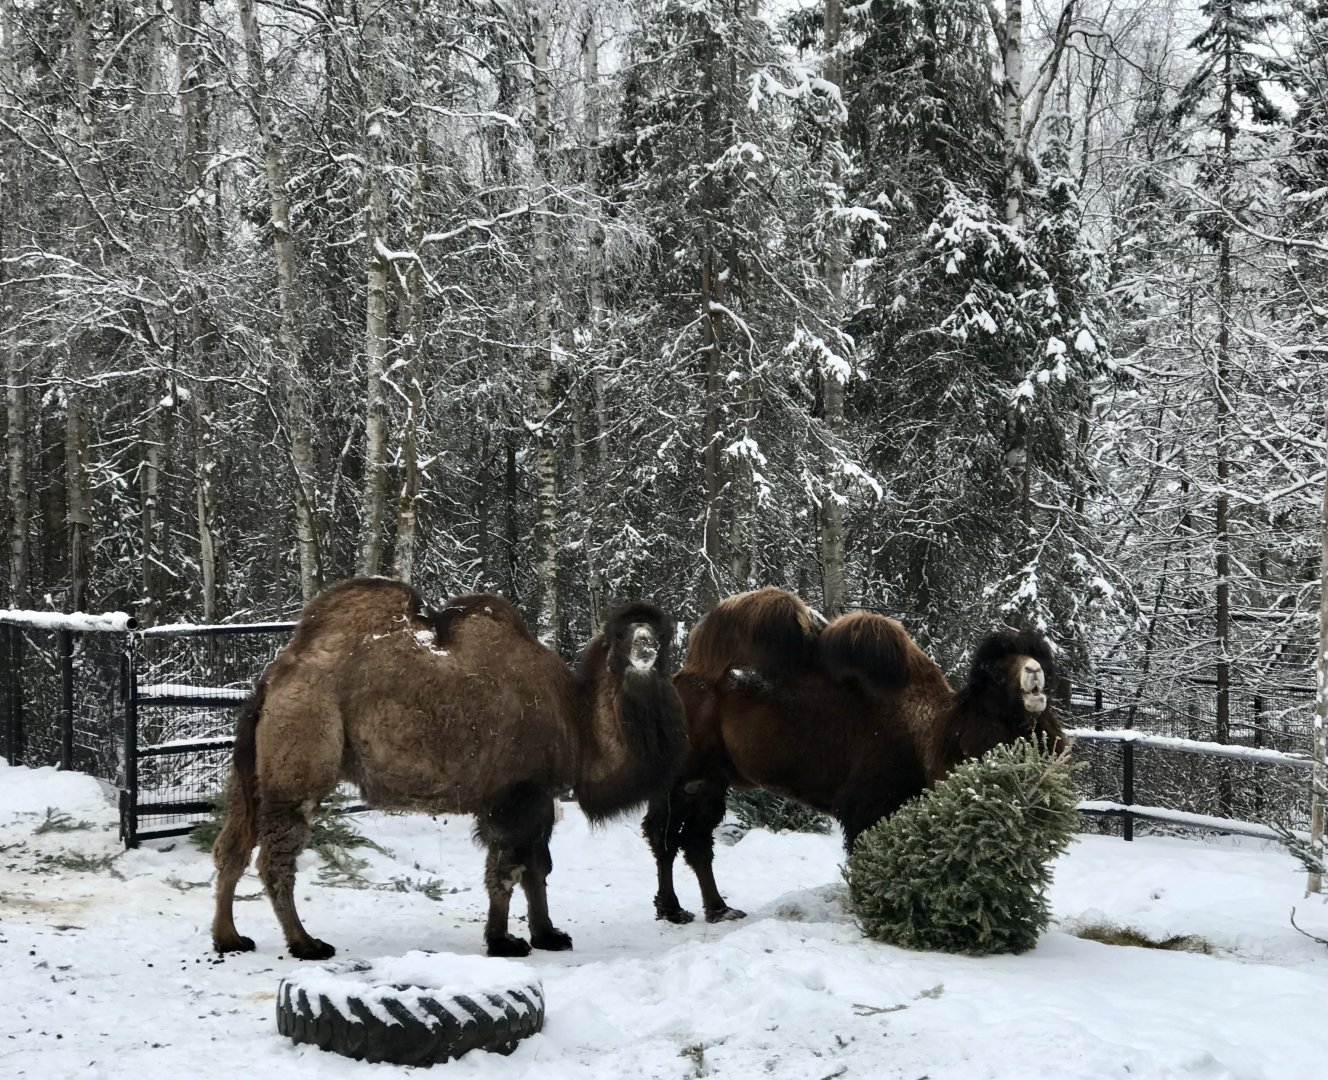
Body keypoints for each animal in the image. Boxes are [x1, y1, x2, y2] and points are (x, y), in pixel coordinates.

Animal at [211, 577, 686, 959]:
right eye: (621, 634)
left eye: (660, 633)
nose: (645, 647)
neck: (576, 718)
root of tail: (274, 679)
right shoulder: (519, 794)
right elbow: (510, 870)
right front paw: (504, 942)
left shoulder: (532, 796)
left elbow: (536, 868)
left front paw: (548, 935)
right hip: (301, 753)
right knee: (275, 857)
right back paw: (306, 944)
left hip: (257, 767)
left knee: (233, 845)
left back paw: (229, 937)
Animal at [644, 586, 1065, 924]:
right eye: (993, 673)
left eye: (1040, 659)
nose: (1035, 675)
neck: (934, 732)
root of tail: (679, 682)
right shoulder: (869, 807)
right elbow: (868, 858)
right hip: (679, 779)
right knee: (664, 838)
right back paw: (673, 910)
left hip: (712, 782)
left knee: (696, 842)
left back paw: (720, 909)